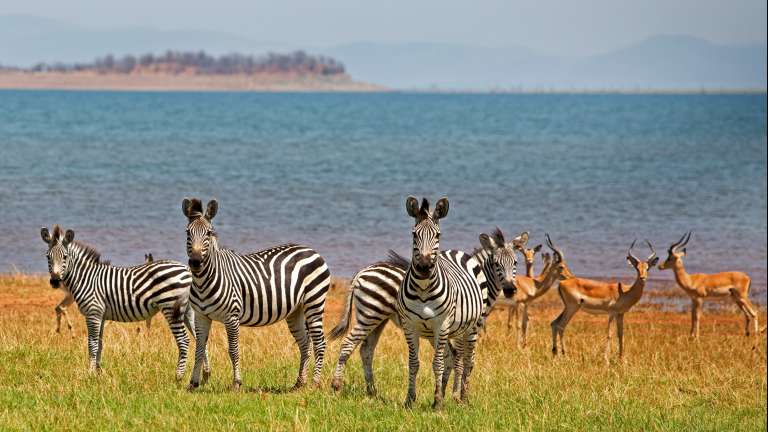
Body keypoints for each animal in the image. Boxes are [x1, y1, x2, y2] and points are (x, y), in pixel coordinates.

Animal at [40, 225, 202, 379]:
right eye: (48, 257)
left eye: (65, 257)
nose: (55, 281)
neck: (87, 278)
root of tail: (187, 270)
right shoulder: (101, 316)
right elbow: (100, 343)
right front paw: (98, 373)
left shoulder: (93, 313)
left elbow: (92, 343)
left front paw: (90, 373)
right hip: (188, 311)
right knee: (199, 339)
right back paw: (203, 376)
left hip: (171, 307)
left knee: (184, 340)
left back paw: (179, 376)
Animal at [182, 198, 332, 391]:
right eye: (188, 233)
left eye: (208, 233)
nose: (195, 262)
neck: (203, 281)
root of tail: (312, 250)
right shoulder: (201, 316)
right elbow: (199, 349)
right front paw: (193, 384)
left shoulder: (232, 316)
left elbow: (233, 350)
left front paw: (236, 383)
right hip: (296, 310)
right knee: (305, 344)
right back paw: (299, 383)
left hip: (314, 301)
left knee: (320, 343)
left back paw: (314, 383)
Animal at [330, 227, 521, 396]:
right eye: (496, 264)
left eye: (515, 263)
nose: (510, 290)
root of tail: (361, 272)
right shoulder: (462, 329)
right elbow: (458, 359)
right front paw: (454, 395)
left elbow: (449, 359)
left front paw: (442, 392)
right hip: (370, 314)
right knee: (348, 344)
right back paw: (337, 385)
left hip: (378, 319)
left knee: (366, 350)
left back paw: (372, 391)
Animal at [396, 196, 487, 409]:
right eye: (414, 234)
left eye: (438, 235)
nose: (423, 267)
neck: (422, 288)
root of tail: (456, 251)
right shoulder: (409, 325)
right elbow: (414, 363)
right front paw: (410, 400)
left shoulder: (442, 324)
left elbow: (437, 364)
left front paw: (437, 403)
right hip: (452, 331)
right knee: (455, 357)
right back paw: (450, 395)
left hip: (473, 327)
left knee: (468, 361)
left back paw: (463, 398)